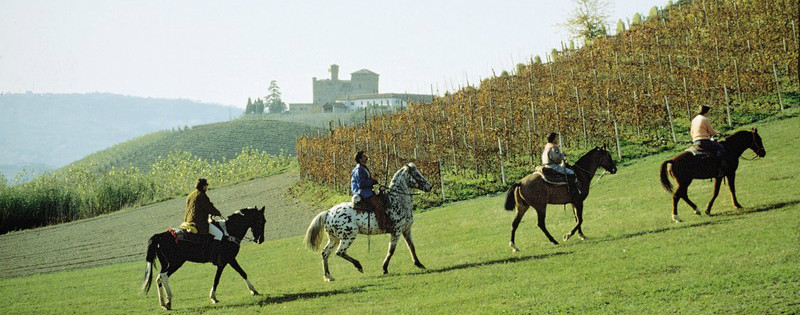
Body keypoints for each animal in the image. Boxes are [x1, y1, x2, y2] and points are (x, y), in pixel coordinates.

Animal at [304, 163, 432, 282]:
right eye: (416, 174)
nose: (429, 186)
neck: (397, 201)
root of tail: (328, 213)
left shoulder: (406, 230)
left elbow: (411, 247)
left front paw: (419, 264)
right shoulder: (396, 231)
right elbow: (391, 250)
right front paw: (384, 268)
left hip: (334, 239)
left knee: (325, 253)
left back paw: (329, 276)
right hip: (349, 236)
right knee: (339, 252)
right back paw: (359, 266)